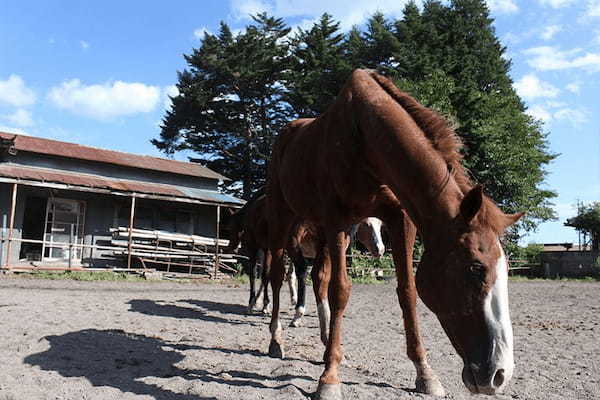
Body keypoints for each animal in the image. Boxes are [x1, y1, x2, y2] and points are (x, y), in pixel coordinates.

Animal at [264, 70, 524, 398]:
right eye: (476, 268)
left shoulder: (400, 220)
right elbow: (340, 290)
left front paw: (425, 372)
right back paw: (276, 340)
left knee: (316, 277)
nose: (499, 374)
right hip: (282, 216)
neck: (364, 136)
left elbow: (407, 292)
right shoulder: (337, 219)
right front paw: (329, 378)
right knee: (276, 275)